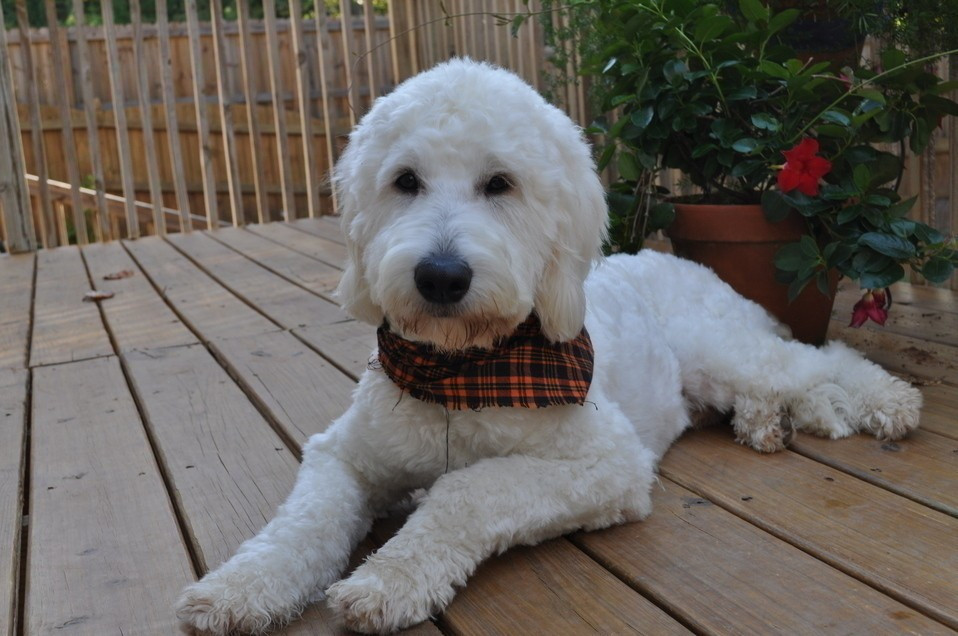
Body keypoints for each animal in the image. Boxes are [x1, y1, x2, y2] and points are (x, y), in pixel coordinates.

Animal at [176, 58, 928, 632]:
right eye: (405, 181)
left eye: (500, 183)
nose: (441, 276)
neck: (463, 375)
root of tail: (691, 265)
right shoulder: (344, 455)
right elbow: (303, 522)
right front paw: (241, 586)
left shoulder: (609, 465)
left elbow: (469, 487)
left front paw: (390, 578)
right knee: (776, 390)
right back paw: (770, 423)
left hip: (721, 350)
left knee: (819, 362)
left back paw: (885, 402)